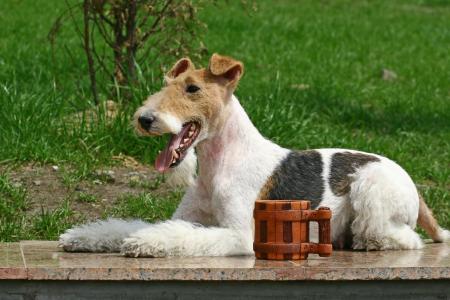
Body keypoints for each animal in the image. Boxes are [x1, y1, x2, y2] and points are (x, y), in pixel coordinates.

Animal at [59, 53, 446, 255]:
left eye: (192, 88)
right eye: (166, 85)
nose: (145, 119)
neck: (218, 164)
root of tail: (414, 186)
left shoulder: (237, 234)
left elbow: (175, 235)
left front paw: (143, 242)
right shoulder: (189, 217)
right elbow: (134, 226)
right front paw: (83, 237)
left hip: (371, 187)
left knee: (400, 238)